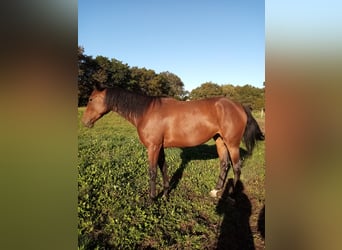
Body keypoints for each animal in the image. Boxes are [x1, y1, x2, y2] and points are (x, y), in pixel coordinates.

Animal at [81, 85, 264, 200]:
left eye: (90, 99)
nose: (85, 122)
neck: (146, 112)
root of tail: (239, 106)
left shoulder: (153, 147)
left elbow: (153, 172)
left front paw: (151, 199)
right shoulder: (159, 147)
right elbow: (163, 168)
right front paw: (166, 193)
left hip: (232, 143)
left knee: (237, 167)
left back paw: (232, 196)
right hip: (220, 140)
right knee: (225, 164)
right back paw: (215, 191)